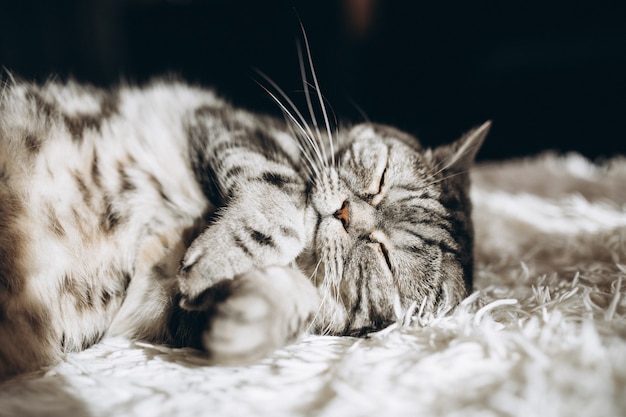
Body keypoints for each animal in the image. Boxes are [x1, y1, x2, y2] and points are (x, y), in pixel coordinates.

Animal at [0, 70, 488, 378]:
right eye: (380, 178)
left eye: (385, 256)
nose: (346, 212)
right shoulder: (221, 120)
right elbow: (279, 187)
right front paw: (228, 252)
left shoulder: (157, 309)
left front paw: (252, 316)